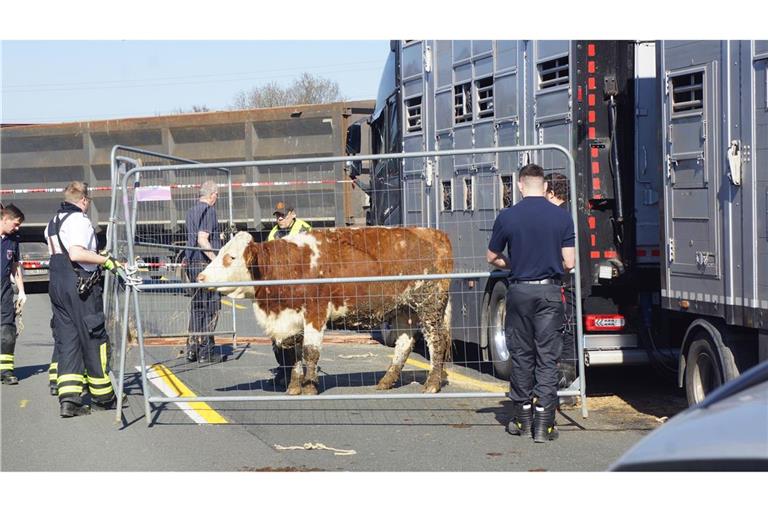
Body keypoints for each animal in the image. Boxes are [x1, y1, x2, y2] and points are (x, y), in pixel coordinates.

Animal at [198, 227, 452, 396]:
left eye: (231, 257)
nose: (200, 277)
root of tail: (434, 233)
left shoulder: (315, 312)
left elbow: (310, 352)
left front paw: (310, 388)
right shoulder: (292, 321)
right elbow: (293, 357)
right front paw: (293, 387)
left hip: (429, 306)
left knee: (437, 342)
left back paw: (432, 384)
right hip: (403, 310)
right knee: (404, 343)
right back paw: (386, 381)